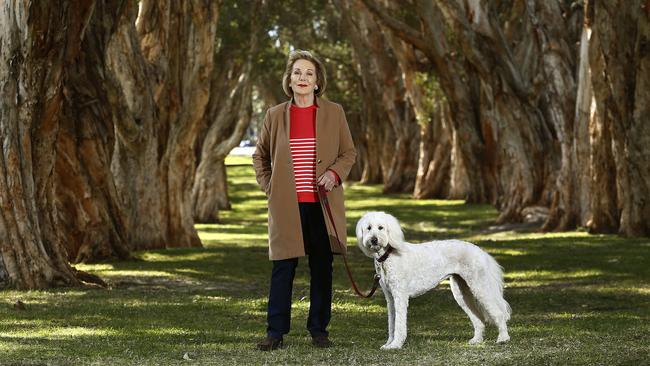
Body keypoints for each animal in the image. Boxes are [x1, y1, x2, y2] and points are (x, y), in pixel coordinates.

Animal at [354, 213, 512, 350]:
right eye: (368, 228)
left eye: (381, 227)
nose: (374, 240)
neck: (387, 256)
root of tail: (480, 251)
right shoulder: (390, 298)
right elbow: (391, 323)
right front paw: (389, 344)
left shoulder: (400, 296)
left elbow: (399, 324)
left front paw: (396, 345)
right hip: (461, 292)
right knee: (478, 319)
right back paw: (477, 340)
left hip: (480, 286)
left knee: (499, 313)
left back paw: (503, 338)